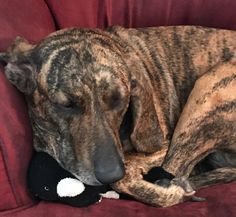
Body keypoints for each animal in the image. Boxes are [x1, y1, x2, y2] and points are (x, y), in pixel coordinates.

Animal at [0, 25, 236, 207]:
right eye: (65, 105)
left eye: (119, 100)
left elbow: (133, 172)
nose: (111, 173)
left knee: (176, 170)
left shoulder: (160, 146)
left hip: (208, 90)